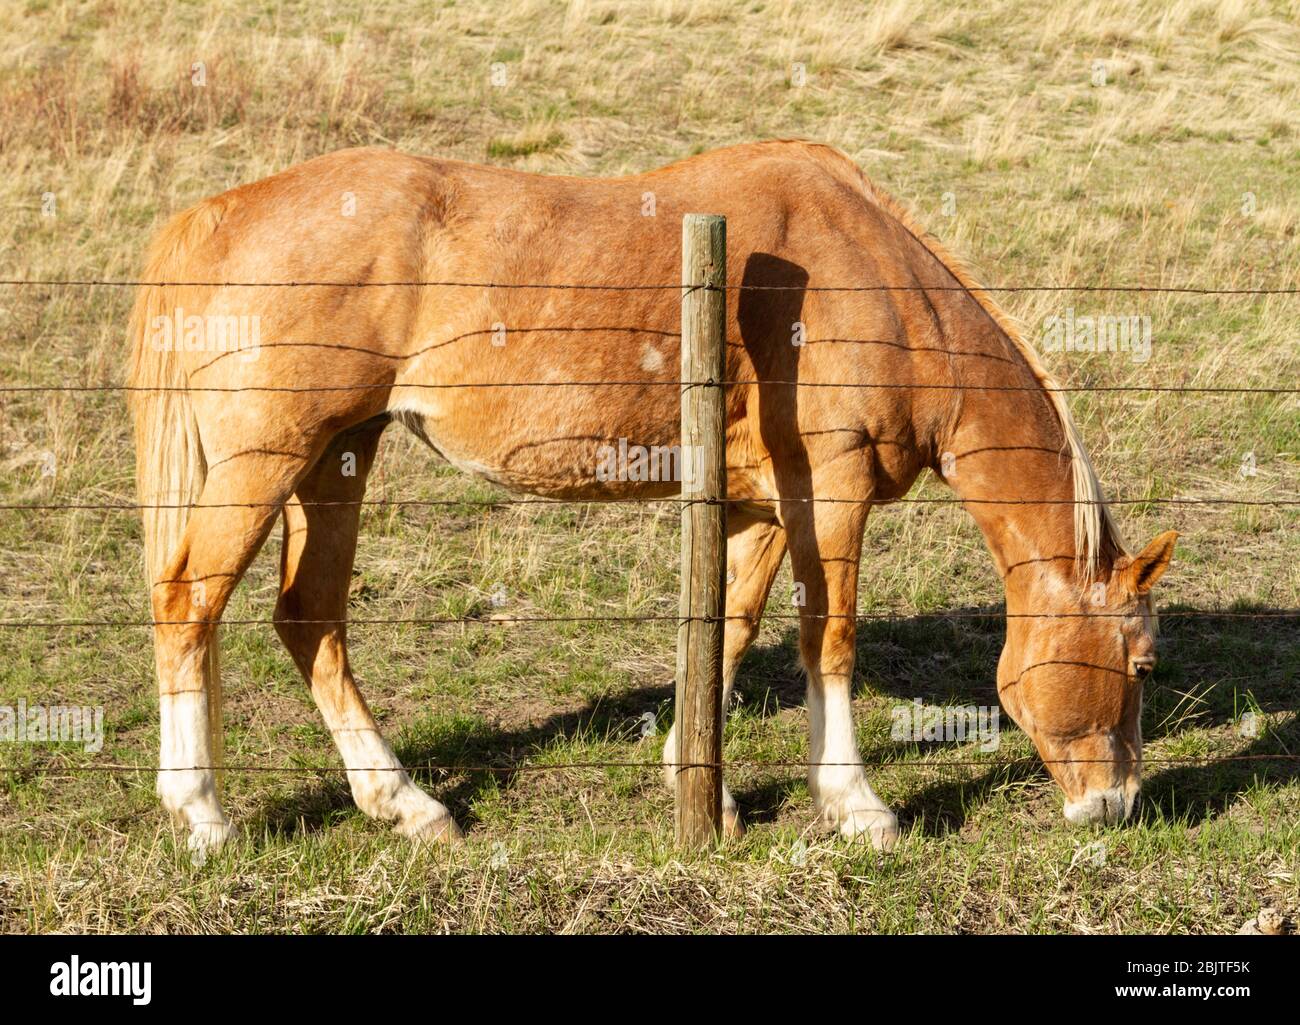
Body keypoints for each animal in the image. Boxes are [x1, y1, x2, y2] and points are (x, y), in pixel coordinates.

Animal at [127, 140, 1177, 859]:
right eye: (1143, 663)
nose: (1117, 807)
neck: (875, 283)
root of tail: (217, 215)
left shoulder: (765, 507)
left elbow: (735, 628)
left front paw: (702, 788)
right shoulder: (831, 493)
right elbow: (829, 640)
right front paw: (857, 806)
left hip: (337, 457)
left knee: (308, 618)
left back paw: (404, 803)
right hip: (269, 462)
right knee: (188, 603)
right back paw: (203, 813)